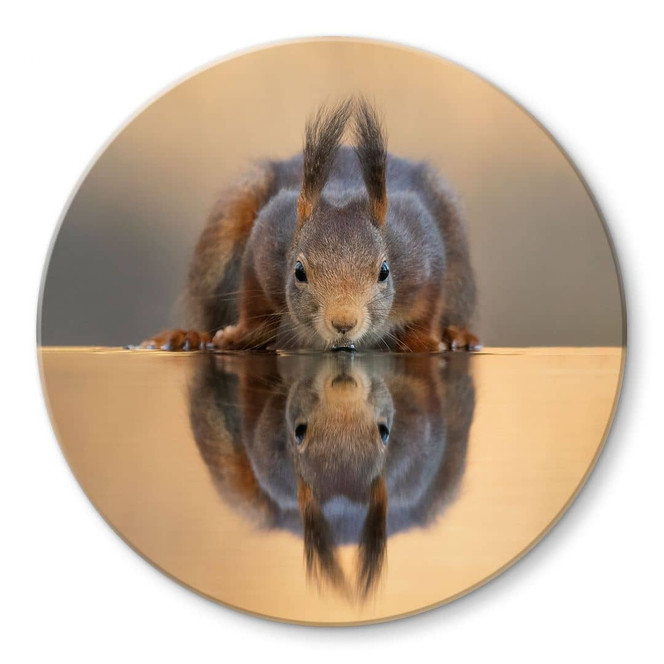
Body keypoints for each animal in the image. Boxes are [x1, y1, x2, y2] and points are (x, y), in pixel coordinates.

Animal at [142, 98, 480, 352]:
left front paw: (425, 341)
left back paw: (459, 336)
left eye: (384, 271)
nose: (343, 323)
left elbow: (429, 309)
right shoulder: (267, 239)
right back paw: (187, 337)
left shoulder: (421, 248)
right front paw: (239, 335)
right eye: (299, 272)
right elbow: (253, 303)